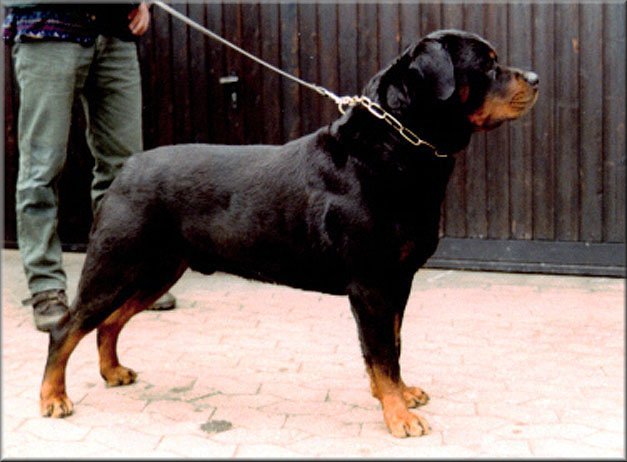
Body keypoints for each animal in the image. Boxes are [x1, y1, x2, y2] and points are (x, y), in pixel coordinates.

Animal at [40, 29, 538, 437]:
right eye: (488, 64)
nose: (534, 77)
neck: (396, 145)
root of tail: (128, 168)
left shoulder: (398, 280)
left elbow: (393, 345)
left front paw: (399, 393)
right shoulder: (372, 284)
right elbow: (382, 352)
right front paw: (399, 415)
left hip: (157, 270)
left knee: (110, 321)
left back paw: (112, 371)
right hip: (116, 262)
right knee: (68, 326)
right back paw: (53, 397)